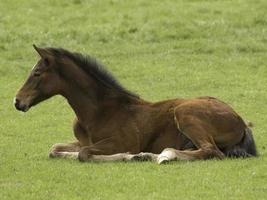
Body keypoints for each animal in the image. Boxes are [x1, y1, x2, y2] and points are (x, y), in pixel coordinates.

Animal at [14, 45, 258, 164]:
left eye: (37, 73)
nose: (17, 101)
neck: (99, 111)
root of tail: (240, 121)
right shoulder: (83, 140)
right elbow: (55, 149)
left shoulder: (121, 141)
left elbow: (85, 154)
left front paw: (130, 156)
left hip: (185, 112)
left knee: (211, 151)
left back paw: (161, 156)